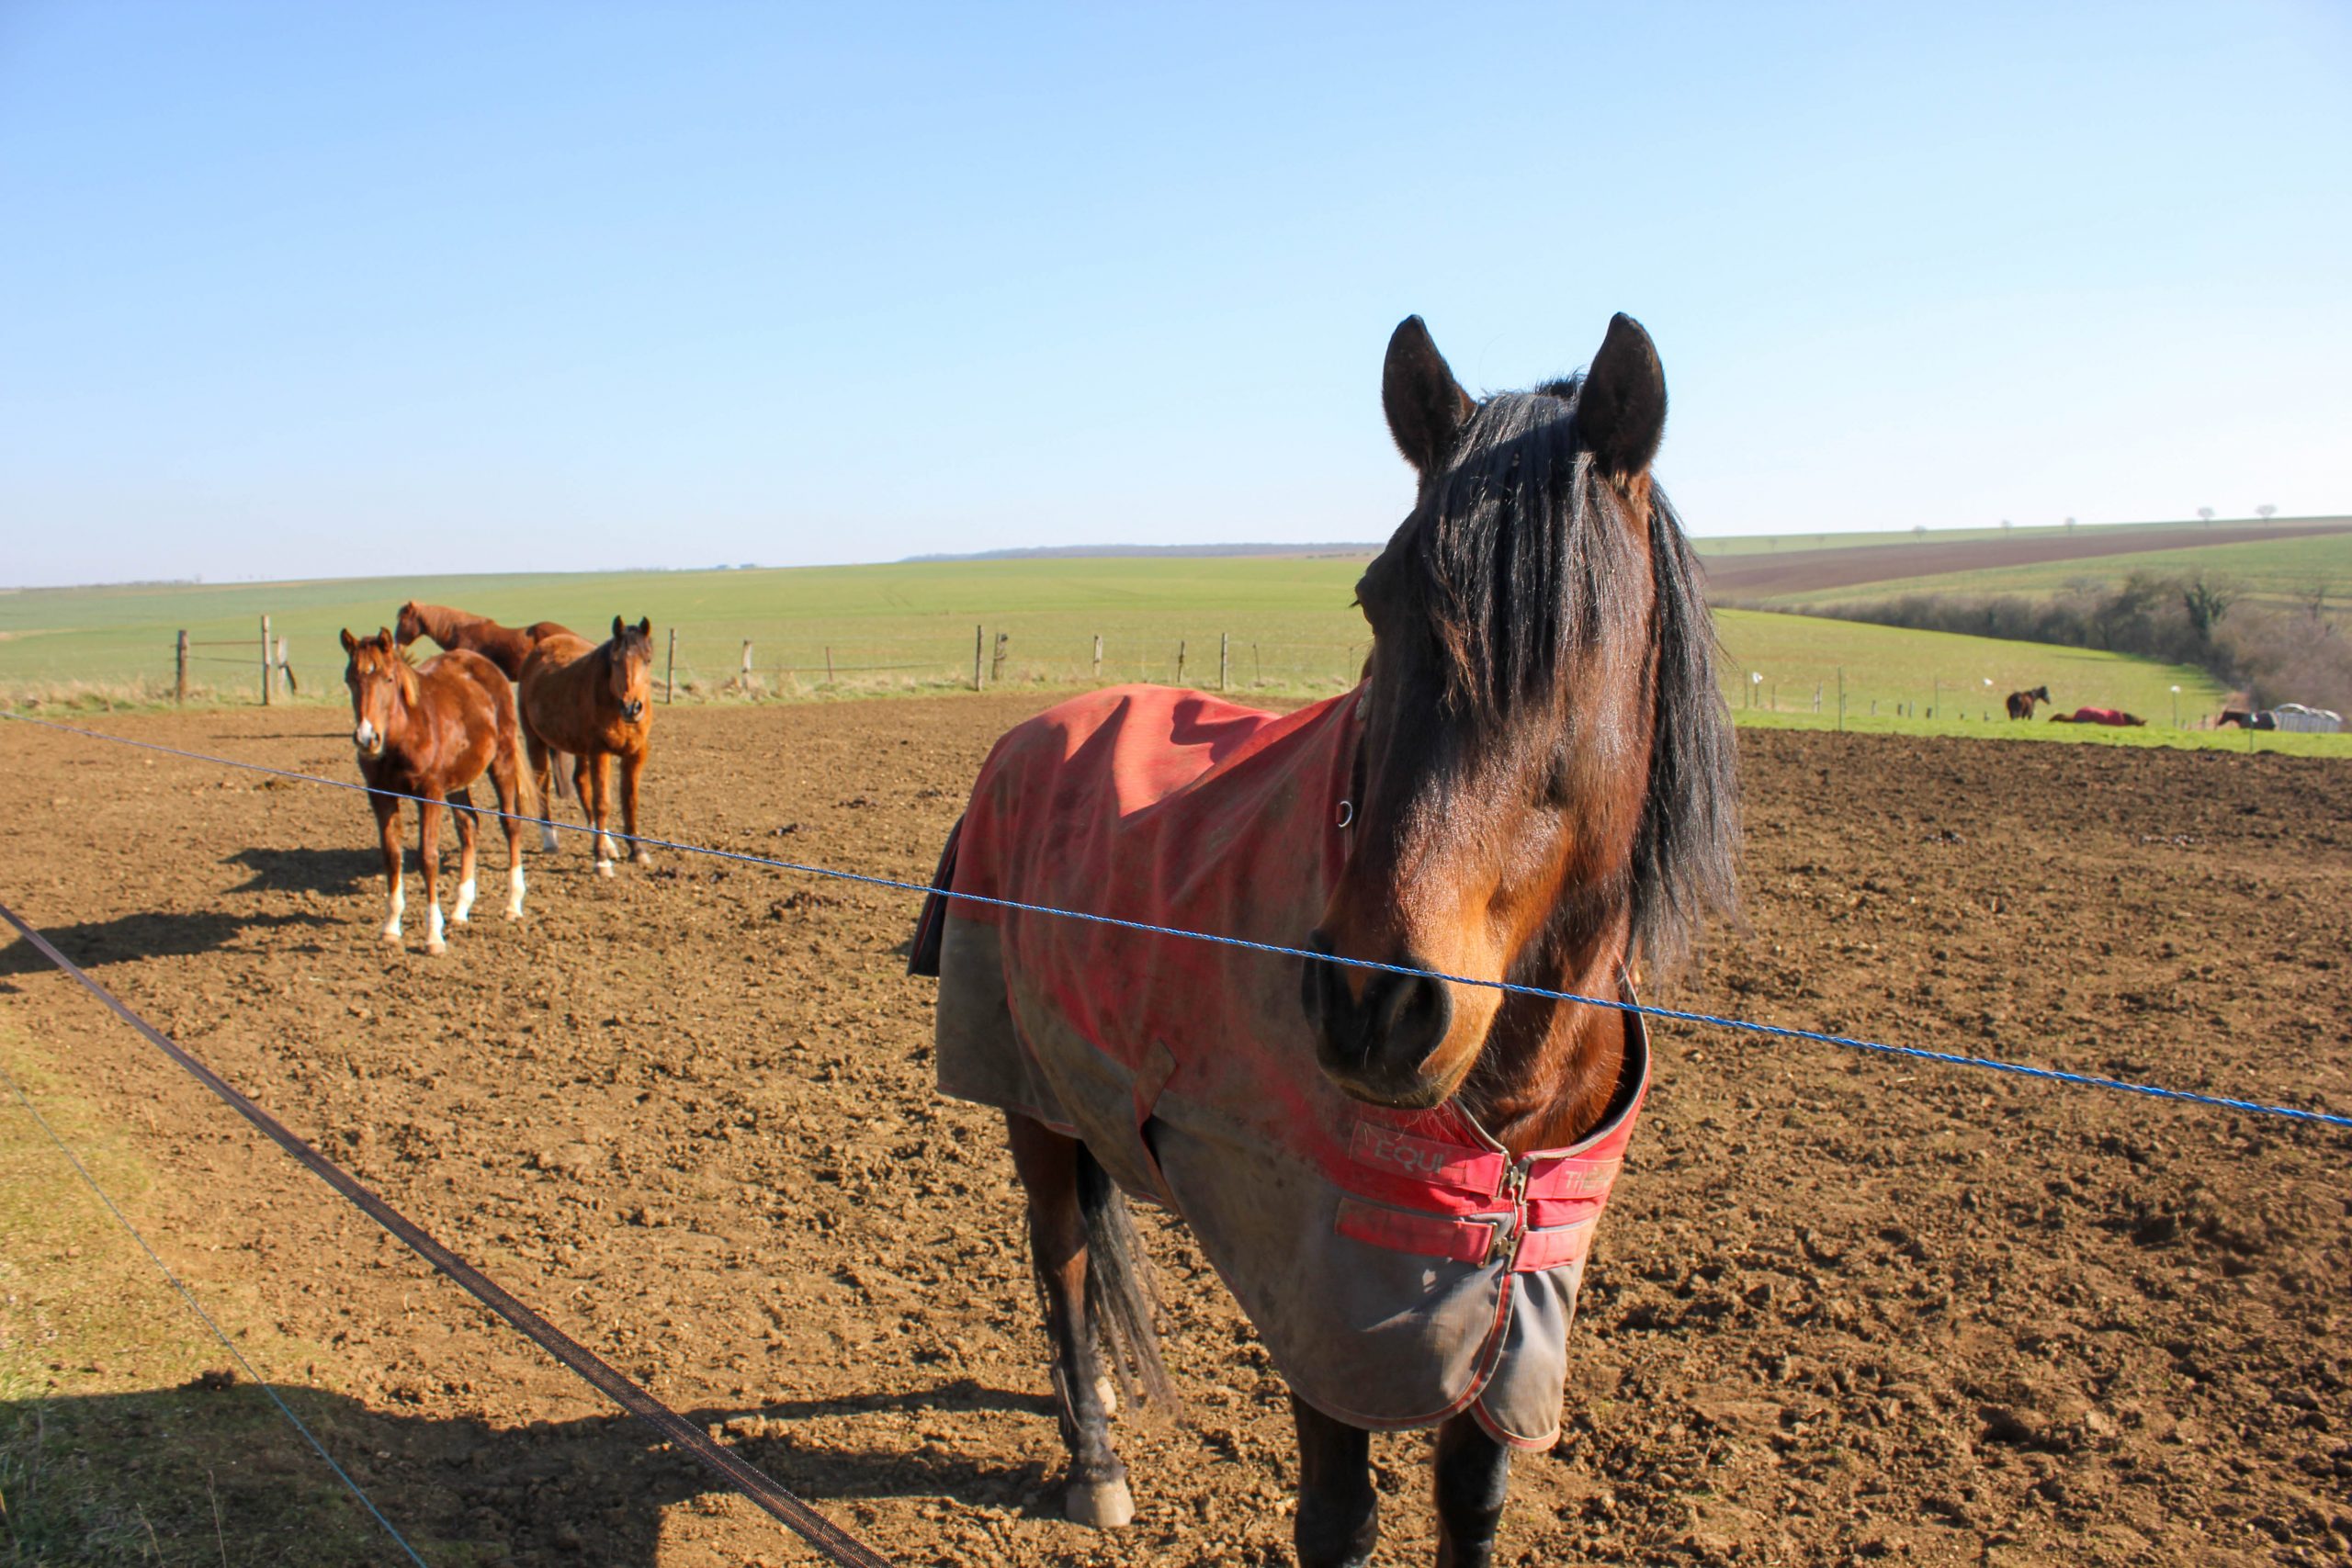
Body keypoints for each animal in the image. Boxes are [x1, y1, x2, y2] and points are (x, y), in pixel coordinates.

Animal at [338, 629, 536, 959]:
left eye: (388, 678)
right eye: (350, 679)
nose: (367, 738)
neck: (405, 732)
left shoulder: (429, 793)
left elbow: (428, 858)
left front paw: (433, 937)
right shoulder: (380, 795)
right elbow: (392, 855)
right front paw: (390, 928)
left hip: (502, 759)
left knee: (510, 824)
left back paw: (512, 904)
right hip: (457, 782)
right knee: (469, 826)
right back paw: (460, 909)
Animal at [917, 312, 1749, 1561]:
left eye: (1585, 630)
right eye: (1373, 601)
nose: (1373, 1004)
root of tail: (1029, 733)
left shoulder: (1508, 1312)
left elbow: (1472, 1503)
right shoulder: (1320, 1297)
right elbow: (1337, 1519)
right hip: (1029, 1100)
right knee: (1058, 1256)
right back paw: (1094, 1459)